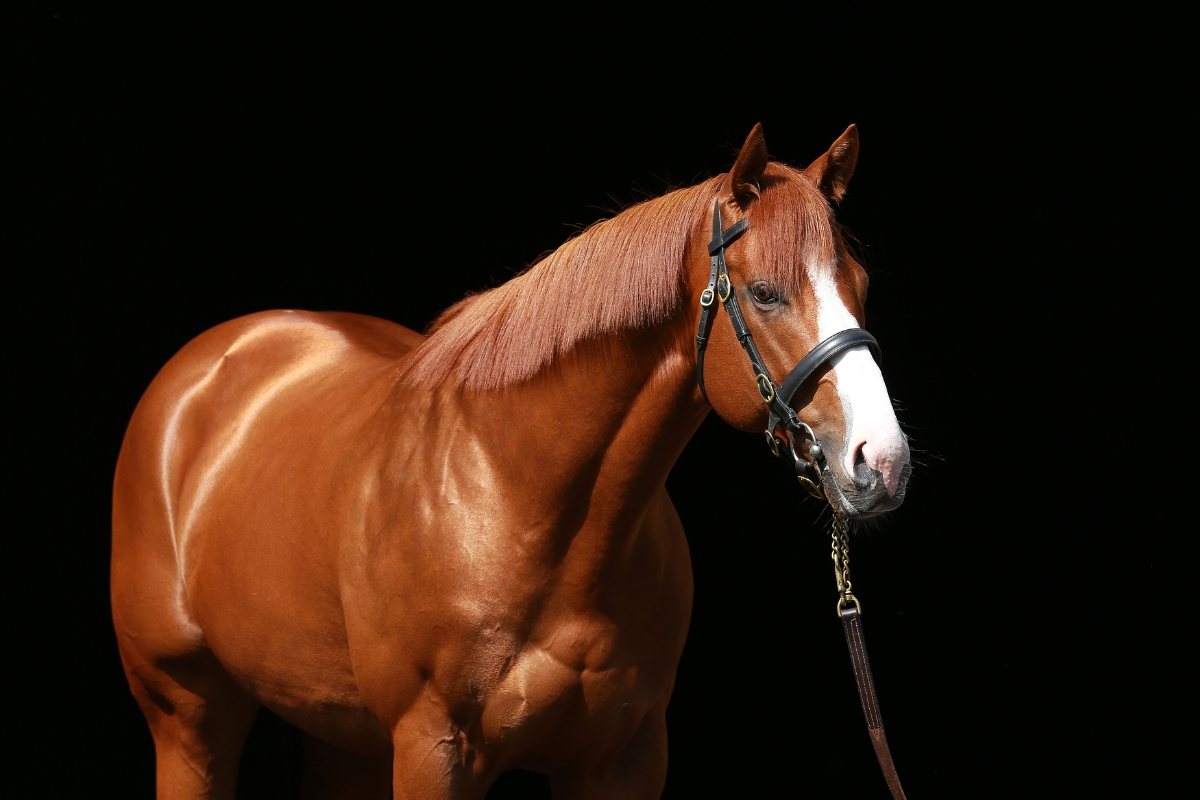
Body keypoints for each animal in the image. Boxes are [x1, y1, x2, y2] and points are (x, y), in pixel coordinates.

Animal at [111, 122, 911, 799]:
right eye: (765, 293)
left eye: (863, 284)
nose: (881, 462)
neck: (515, 499)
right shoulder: (433, 752)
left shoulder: (623, 763)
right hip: (189, 716)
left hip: (342, 734)